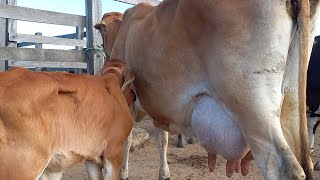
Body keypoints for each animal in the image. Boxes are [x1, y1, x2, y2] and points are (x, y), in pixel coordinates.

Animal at [99, 0, 318, 179]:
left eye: (102, 31)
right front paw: (164, 173)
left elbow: (126, 139)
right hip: (290, 106)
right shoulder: (157, 106)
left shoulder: (130, 101)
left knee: (284, 167)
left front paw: (123, 174)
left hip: (252, 108)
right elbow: (162, 139)